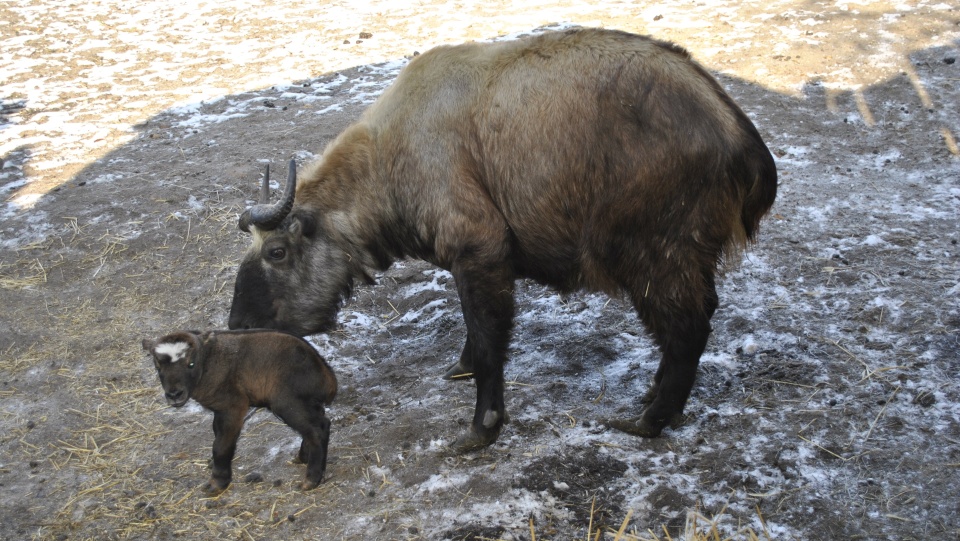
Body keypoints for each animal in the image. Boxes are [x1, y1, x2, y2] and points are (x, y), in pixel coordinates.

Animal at [141, 326, 338, 492]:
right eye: (158, 368)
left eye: (190, 364)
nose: (174, 394)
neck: (208, 362)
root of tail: (326, 376)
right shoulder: (220, 409)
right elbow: (216, 433)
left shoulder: (233, 406)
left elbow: (221, 445)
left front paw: (217, 482)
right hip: (305, 402)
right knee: (318, 422)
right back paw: (304, 457)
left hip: (287, 401)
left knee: (317, 429)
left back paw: (311, 480)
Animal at [227, 28, 780, 452]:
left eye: (276, 251)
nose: (237, 326)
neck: (389, 154)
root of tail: (740, 133)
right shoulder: (471, 263)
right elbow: (476, 335)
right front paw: (462, 368)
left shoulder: (480, 250)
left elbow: (491, 341)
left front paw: (482, 428)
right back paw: (652, 401)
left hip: (655, 258)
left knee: (688, 331)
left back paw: (650, 420)